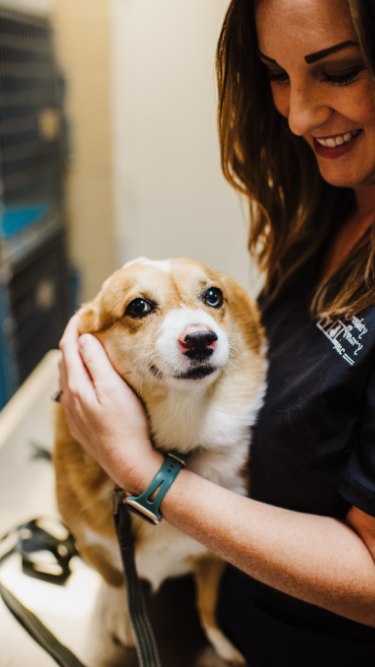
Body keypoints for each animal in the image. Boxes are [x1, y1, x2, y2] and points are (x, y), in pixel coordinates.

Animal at [53, 258, 268, 664]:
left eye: (213, 296)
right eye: (138, 306)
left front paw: (223, 645)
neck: (177, 446)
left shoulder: (214, 559)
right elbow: (117, 580)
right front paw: (121, 614)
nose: (200, 338)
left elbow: (206, 606)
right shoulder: (91, 544)